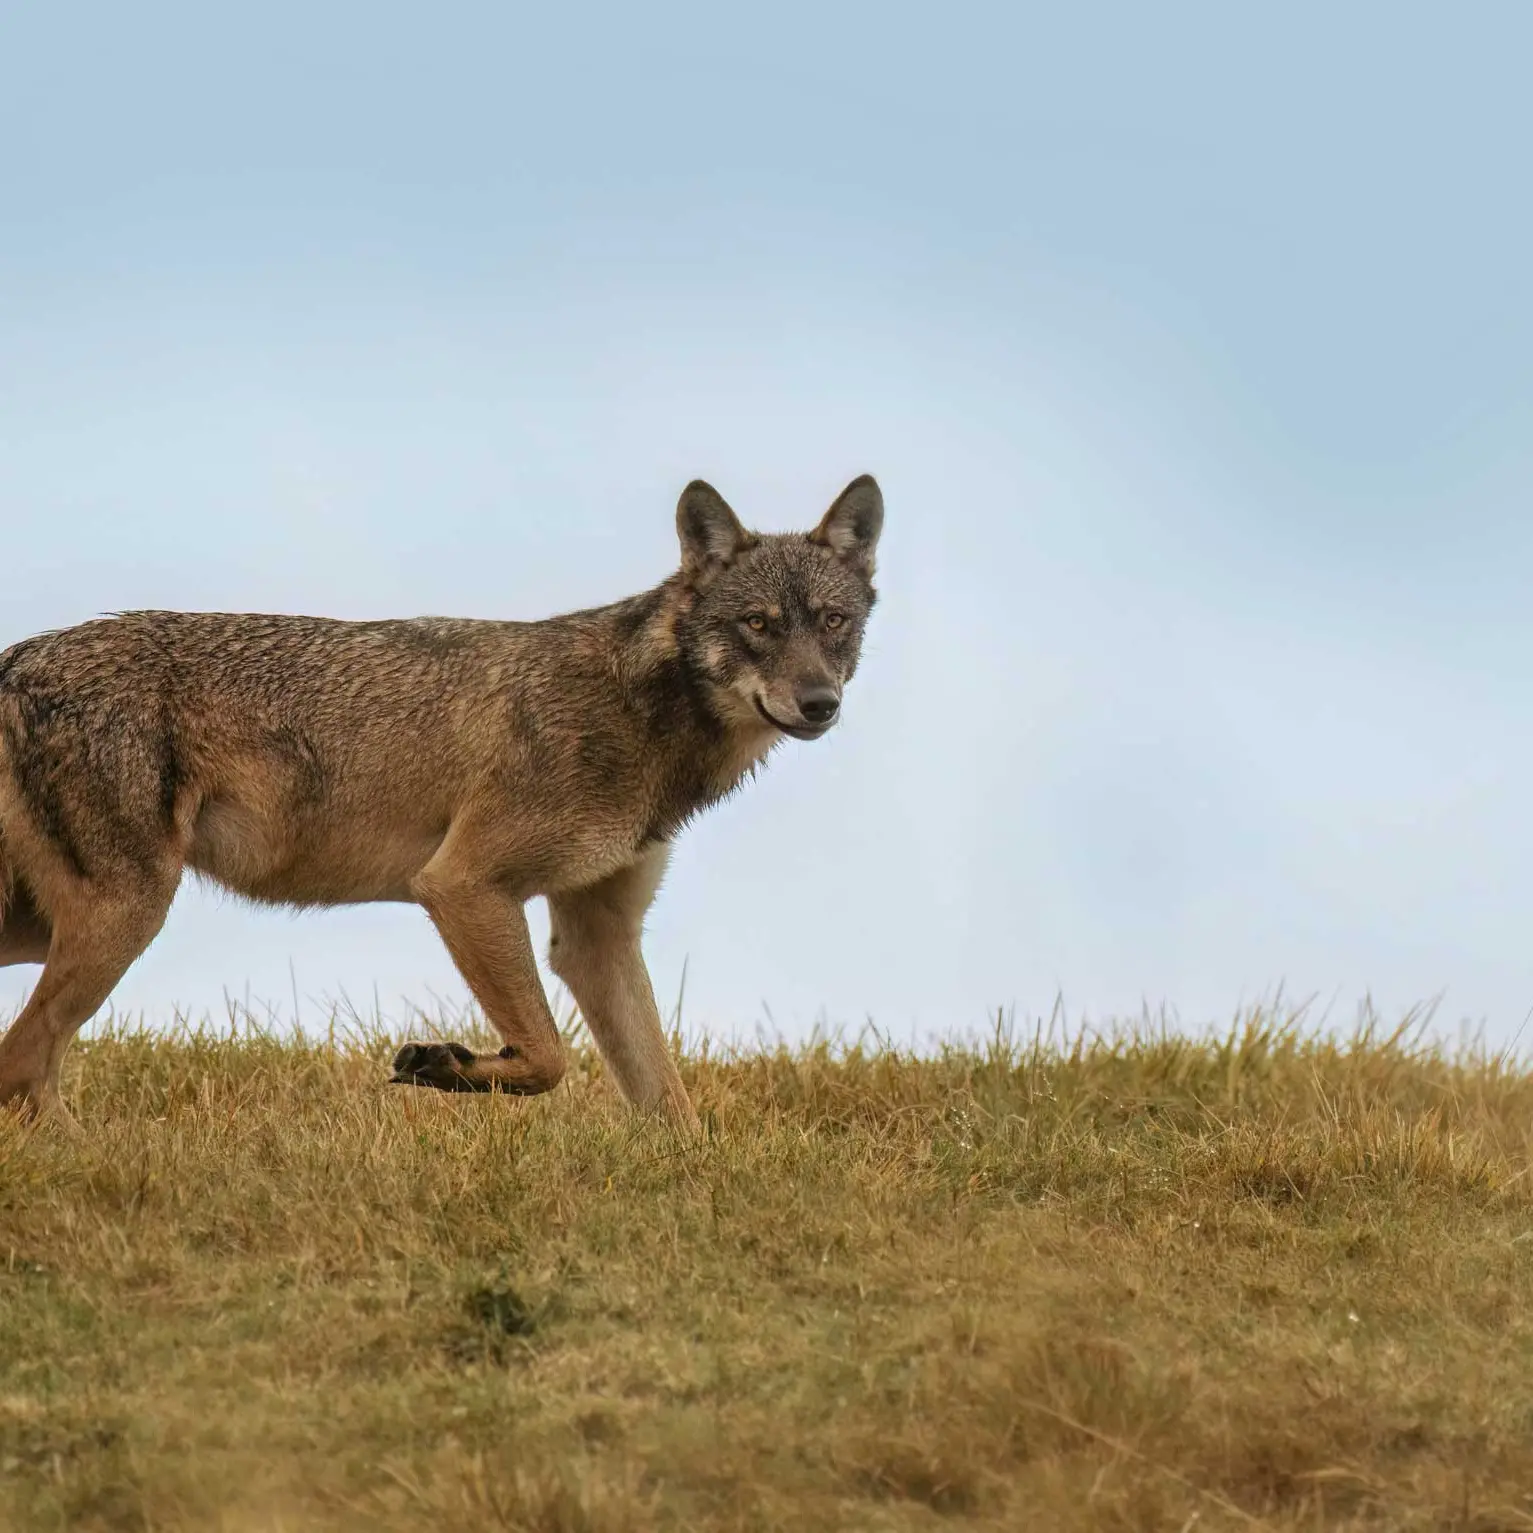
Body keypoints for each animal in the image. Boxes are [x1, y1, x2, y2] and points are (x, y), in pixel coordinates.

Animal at [0, 476, 883, 1130]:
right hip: (122, 917)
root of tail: (18, 655)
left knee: (23, 1062)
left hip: (51, 930)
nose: (819, 704)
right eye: (758, 624)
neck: (640, 711)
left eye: (833, 621)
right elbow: (550, 1059)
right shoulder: (462, 885)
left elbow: (668, 1100)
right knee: (23, 1063)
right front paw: (444, 1064)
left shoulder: (596, 935)